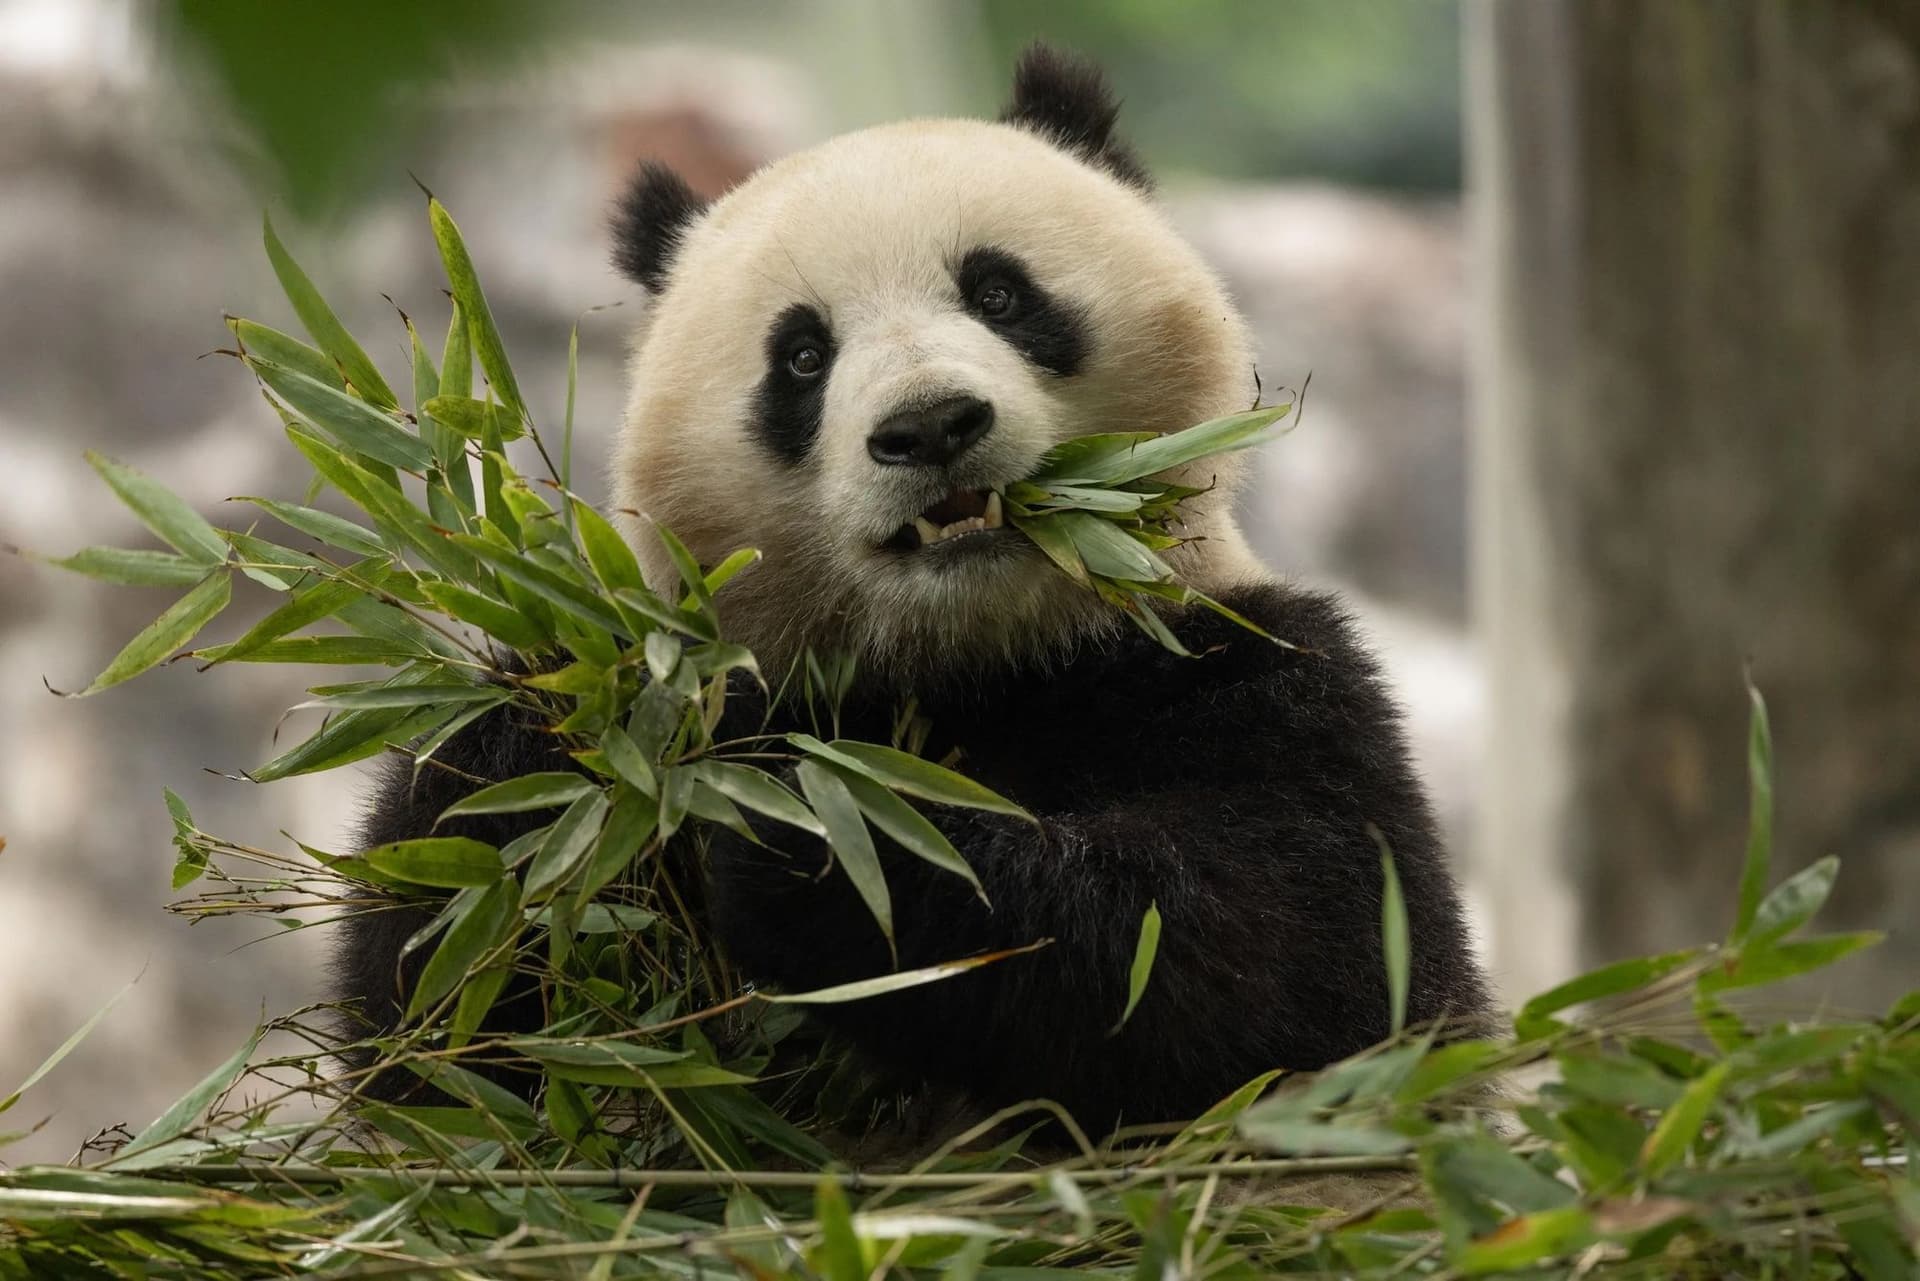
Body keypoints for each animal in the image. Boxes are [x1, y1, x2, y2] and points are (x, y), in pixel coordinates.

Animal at [336, 46, 1493, 1135]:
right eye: (802, 355)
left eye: (1000, 293)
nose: (931, 426)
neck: (974, 657)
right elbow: (441, 1028)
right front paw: (547, 753)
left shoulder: (1256, 673)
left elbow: (1297, 965)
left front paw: (820, 841)